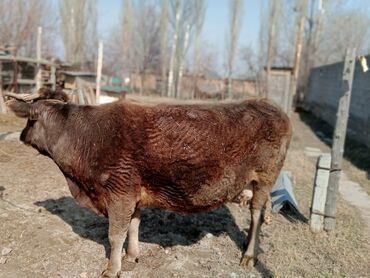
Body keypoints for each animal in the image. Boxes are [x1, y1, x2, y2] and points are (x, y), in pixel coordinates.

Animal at [4, 90, 290, 276]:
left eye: (31, 120)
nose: (21, 135)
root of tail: (271, 106)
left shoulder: (119, 191)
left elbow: (115, 234)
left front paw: (112, 269)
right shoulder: (132, 192)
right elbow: (133, 226)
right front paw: (131, 256)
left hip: (265, 177)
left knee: (256, 213)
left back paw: (249, 255)